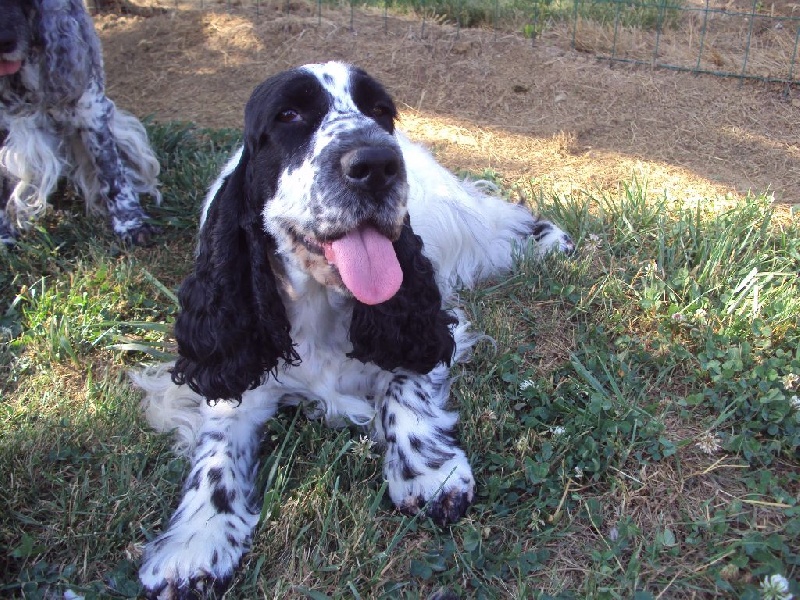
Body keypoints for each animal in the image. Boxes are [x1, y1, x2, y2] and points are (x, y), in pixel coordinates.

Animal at [131, 62, 572, 600]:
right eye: (289, 115)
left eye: (381, 110)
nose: (378, 164)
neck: (319, 308)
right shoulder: (233, 374)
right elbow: (214, 458)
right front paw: (194, 546)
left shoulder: (423, 326)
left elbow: (404, 389)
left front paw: (427, 474)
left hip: (460, 222)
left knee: (500, 221)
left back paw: (550, 240)